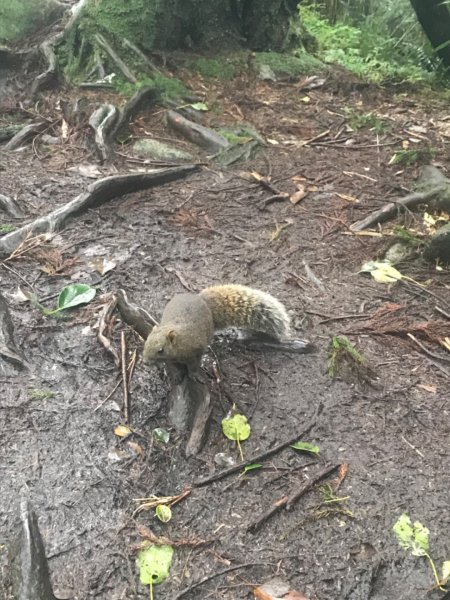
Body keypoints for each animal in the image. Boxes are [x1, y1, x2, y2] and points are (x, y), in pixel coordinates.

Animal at [142, 284, 312, 372]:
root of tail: (202, 300)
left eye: (161, 350)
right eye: (146, 343)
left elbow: (195, 364)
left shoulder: (196, 348)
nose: (144, 361)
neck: (181, 339)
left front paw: (193, 374)